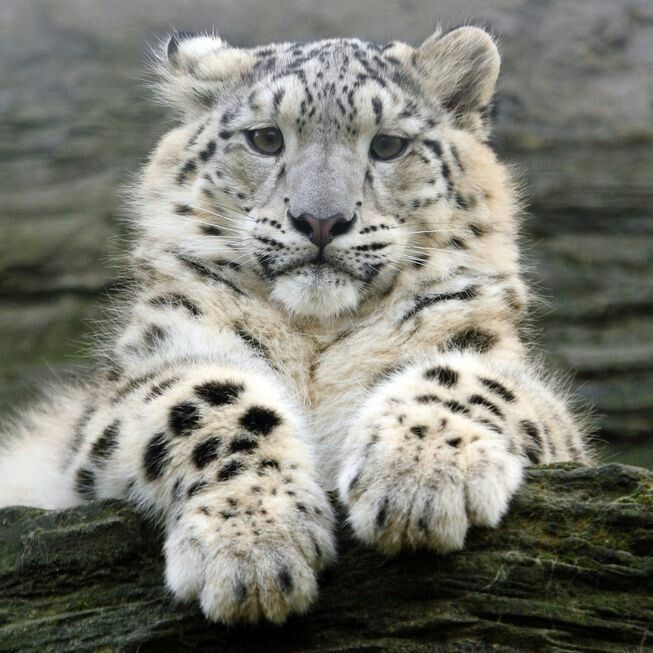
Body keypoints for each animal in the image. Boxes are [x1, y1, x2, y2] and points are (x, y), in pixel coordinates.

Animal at [0, 28, 592, 624]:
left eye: (388, 145)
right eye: (265, 139)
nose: (321, 220)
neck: (316, 341)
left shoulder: (518, 384)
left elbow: (470, 381)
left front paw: (419, 478)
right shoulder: (144, 373)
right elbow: (209, 402)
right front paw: (254, 545)